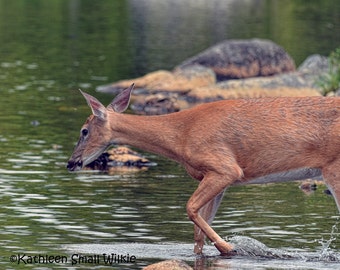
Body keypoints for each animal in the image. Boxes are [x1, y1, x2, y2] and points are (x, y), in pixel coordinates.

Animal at [67, 84, 340, 255]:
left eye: (84, 131)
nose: (71, 162)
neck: (180, 136)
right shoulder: (218, 177)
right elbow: (198, 232)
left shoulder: (224, 167)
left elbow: (190, 208)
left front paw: (228, 247)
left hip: (334, 170)